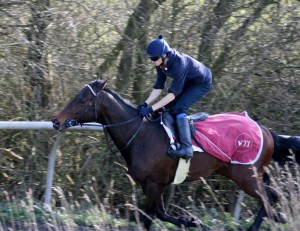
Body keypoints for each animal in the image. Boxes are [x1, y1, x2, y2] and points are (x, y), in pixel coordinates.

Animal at [51, 78, 300, 230]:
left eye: (83, 100)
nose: (56, 121)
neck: (140, 134)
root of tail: (265, 130)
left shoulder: (155, 182)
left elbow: (153, 216)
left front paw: (194, 220)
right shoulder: (149, 183)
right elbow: (159, 214)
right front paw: (193, 221)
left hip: (246, 177)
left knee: (268, 198)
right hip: (248, 173)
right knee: (273, 196)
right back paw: (278, 217)